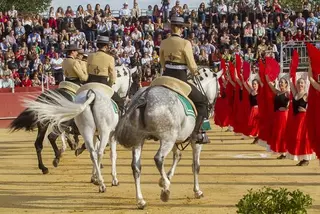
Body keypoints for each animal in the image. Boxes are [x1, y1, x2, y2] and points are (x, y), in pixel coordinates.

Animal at [114, 68, 221, 209]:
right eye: (219, 88)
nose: (212, 107)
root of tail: (145, 97)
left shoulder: (176, 139)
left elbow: (177, 156)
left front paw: (168, 176)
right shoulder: (195, 142)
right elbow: (196, 166)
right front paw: (197, 191)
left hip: (139, 140)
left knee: (136, 166)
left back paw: (141, 200)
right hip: (167, 139)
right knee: (158, 158)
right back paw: (165, 188)